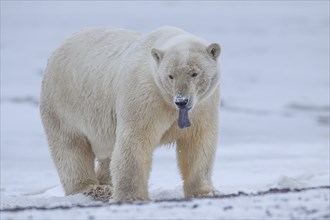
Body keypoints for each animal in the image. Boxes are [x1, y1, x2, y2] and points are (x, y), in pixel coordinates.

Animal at [40, 24, 222, 202]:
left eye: (194, 73)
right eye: (170, 75)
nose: (181, 100)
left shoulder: (203, 105)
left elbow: (197, 142)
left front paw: (206, 192)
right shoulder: (144, 95)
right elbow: (135, 140)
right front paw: (132, 196)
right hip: (64, 103)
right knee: (71, 148)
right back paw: (93, 189)